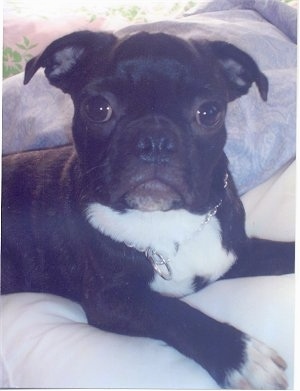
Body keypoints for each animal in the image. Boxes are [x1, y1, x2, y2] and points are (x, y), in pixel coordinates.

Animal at [1, 29, 294, 388]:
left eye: (209, 113)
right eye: (98, 108)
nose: (155, 140)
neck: (164, 222)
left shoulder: (233, 254)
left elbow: (280, 252)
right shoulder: (111, 300)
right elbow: (171, 312)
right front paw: (242, 356)